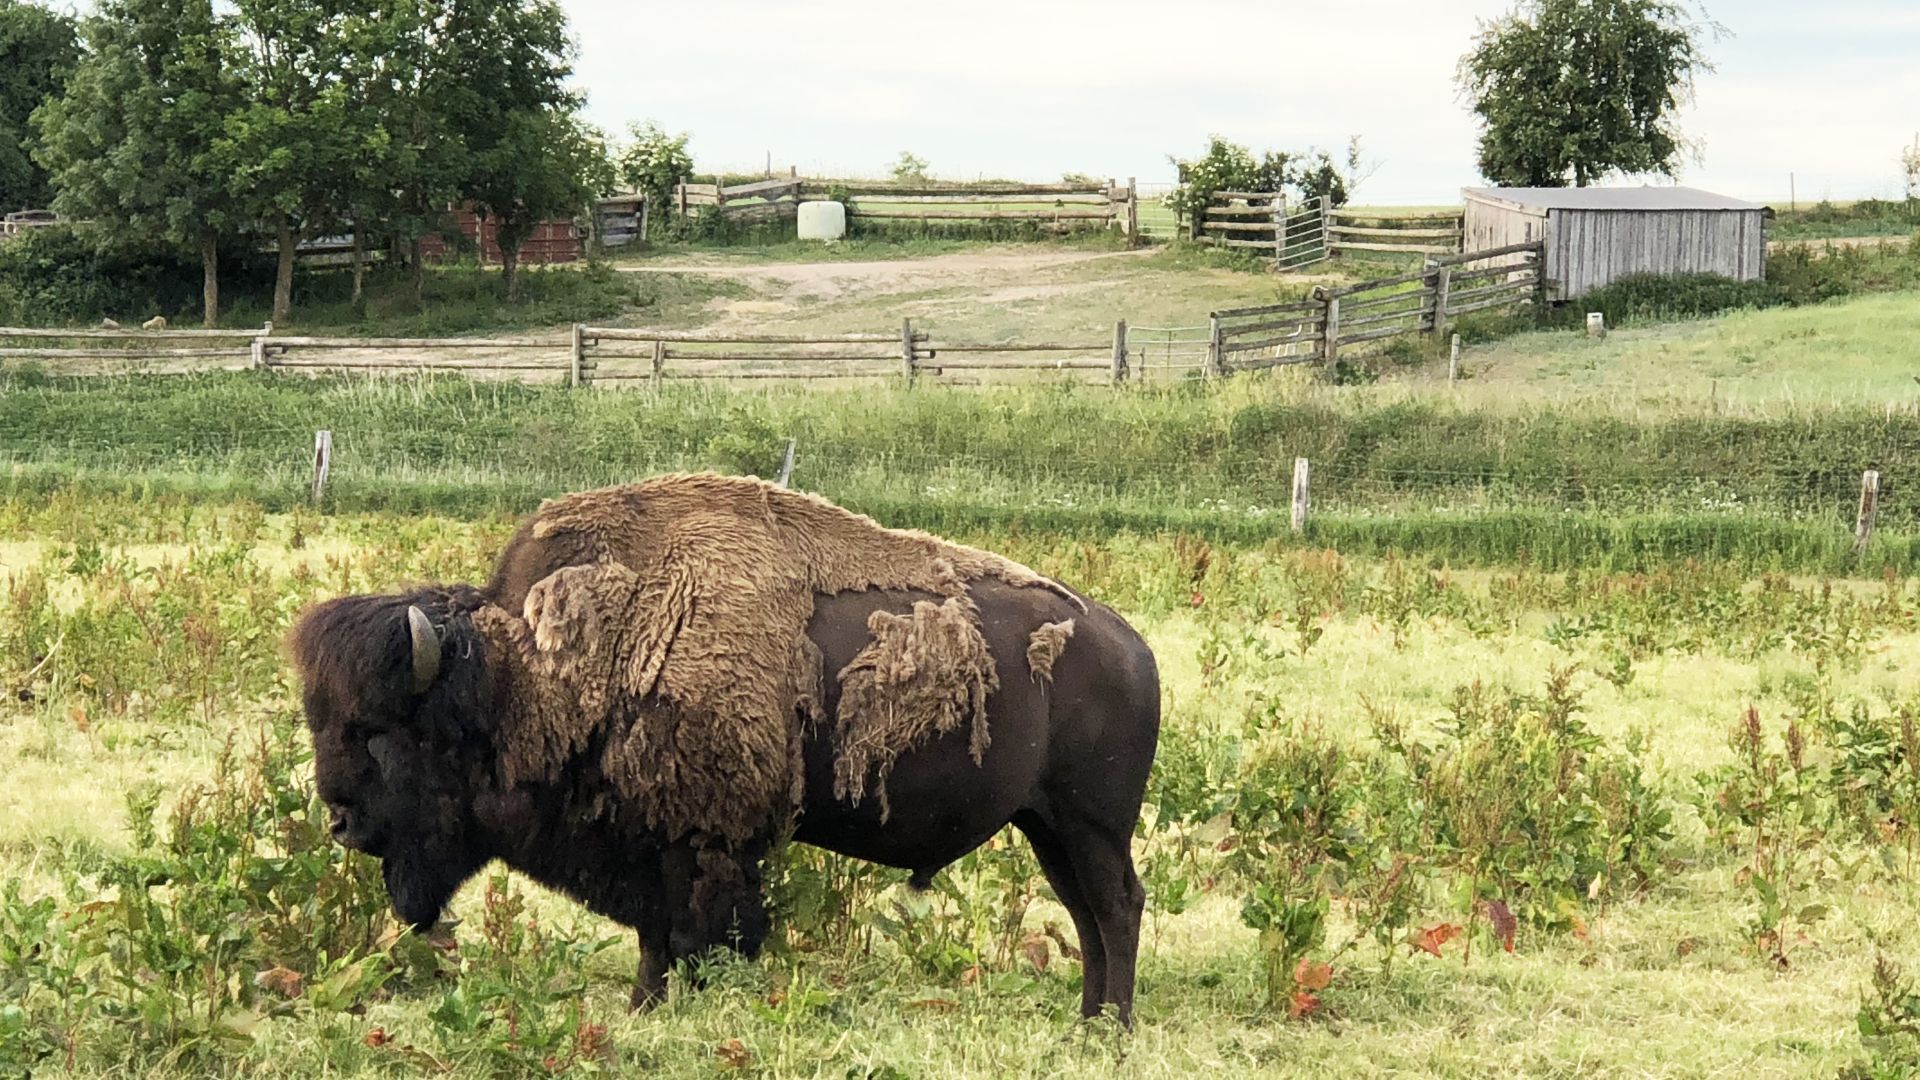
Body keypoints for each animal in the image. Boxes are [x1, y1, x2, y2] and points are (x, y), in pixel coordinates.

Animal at [291, 534, 1159, 1022]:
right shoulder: (649, 846)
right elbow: (656, 936)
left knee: (1116, 906)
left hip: (1091, 825)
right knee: (1084, 913)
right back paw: (1087, 1021)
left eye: (379, 730)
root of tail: (1130, 645)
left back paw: (1112, 1026)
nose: (340, 821)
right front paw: (643, 1010)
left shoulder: (702, 845)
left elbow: (698, 933)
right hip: (1045, 825)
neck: (528, 680)